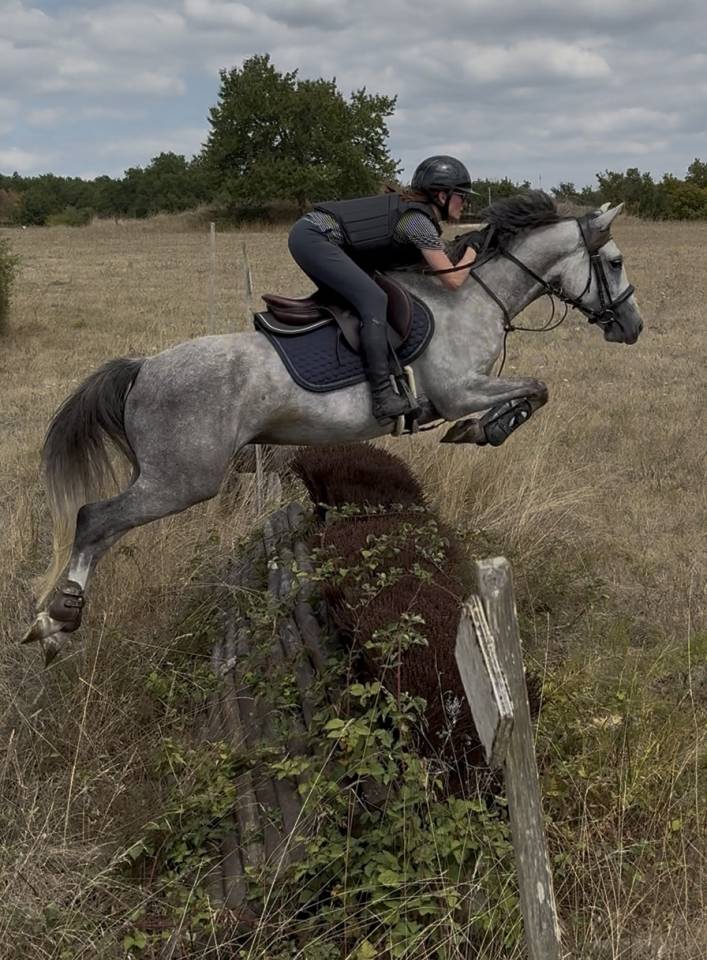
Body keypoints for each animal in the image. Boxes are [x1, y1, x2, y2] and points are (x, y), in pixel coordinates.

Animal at [22, 192, 642, 659]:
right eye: (614, 262)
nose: (632, 327)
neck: (471, 297)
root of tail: (144, 367)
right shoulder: (458, 390)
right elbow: (536, 388)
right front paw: (481, 430)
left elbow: (536, 390)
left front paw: (482, 429)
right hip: (184, 480)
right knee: (94, 518)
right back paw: (56, 622)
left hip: (167, 479)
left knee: (103, 531)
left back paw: (56, 619)